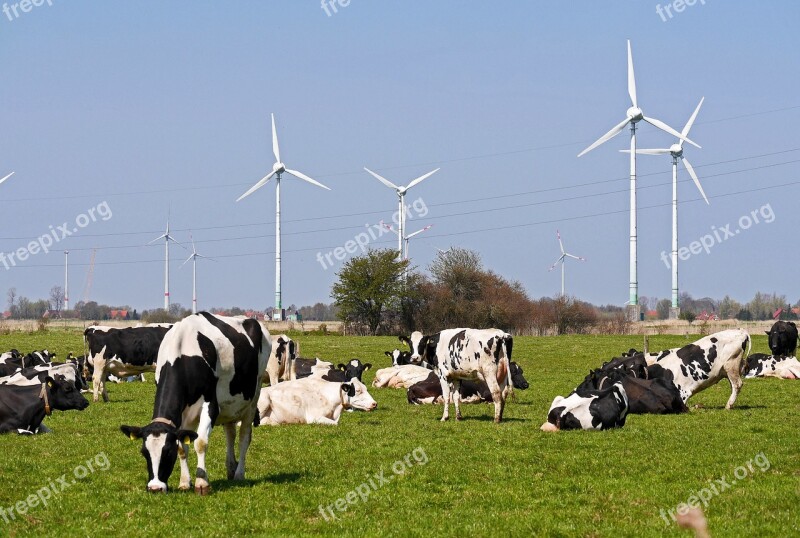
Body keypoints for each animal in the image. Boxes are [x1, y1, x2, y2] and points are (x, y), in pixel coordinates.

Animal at [119, 312, 268, 492]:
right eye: (144, 452)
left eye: (167, 452)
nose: (155, 488)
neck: (182, 354)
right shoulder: (183, 412)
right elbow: (183, 447)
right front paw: (184, 482)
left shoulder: (211, 405)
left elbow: (201, 443)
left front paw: (201, 483)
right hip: (229, 405)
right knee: (230, 434)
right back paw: (231, 469)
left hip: (253, 397)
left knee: (244, 436)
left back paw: (239, 474)